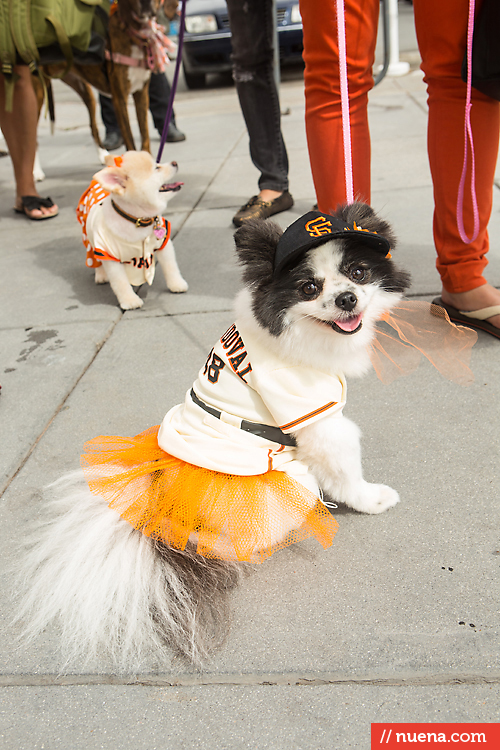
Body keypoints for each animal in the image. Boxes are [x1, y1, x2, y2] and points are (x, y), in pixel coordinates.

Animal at [17, 201, 412, 668]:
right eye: (309, 287)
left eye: (358, 272)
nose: (346, 298)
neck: (299, 334)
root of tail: (159, 512)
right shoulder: (316, 417)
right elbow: (348, 470)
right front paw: (372, 500)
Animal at [76, 151, 188, 310]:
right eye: (157, 168)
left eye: (157, 162)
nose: (174, 162)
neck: (138, 220)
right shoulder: (109, 255)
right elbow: (120, 282)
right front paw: (129, 301)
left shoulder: (163, 243)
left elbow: (170, 266)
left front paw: (176, 284)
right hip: (90, 238)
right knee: (94, 257)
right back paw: (101, 275)